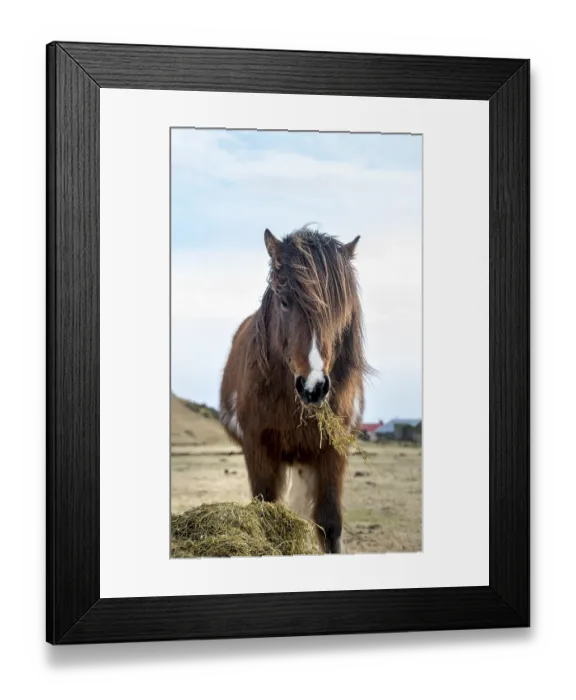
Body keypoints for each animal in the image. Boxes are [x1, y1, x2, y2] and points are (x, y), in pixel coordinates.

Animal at [219, 226, 368, 554]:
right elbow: (267, 517)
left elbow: (329, 525)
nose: (313, 387)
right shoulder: (258, 452)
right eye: (284, 301)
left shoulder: (332, 455)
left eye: (340, 309)